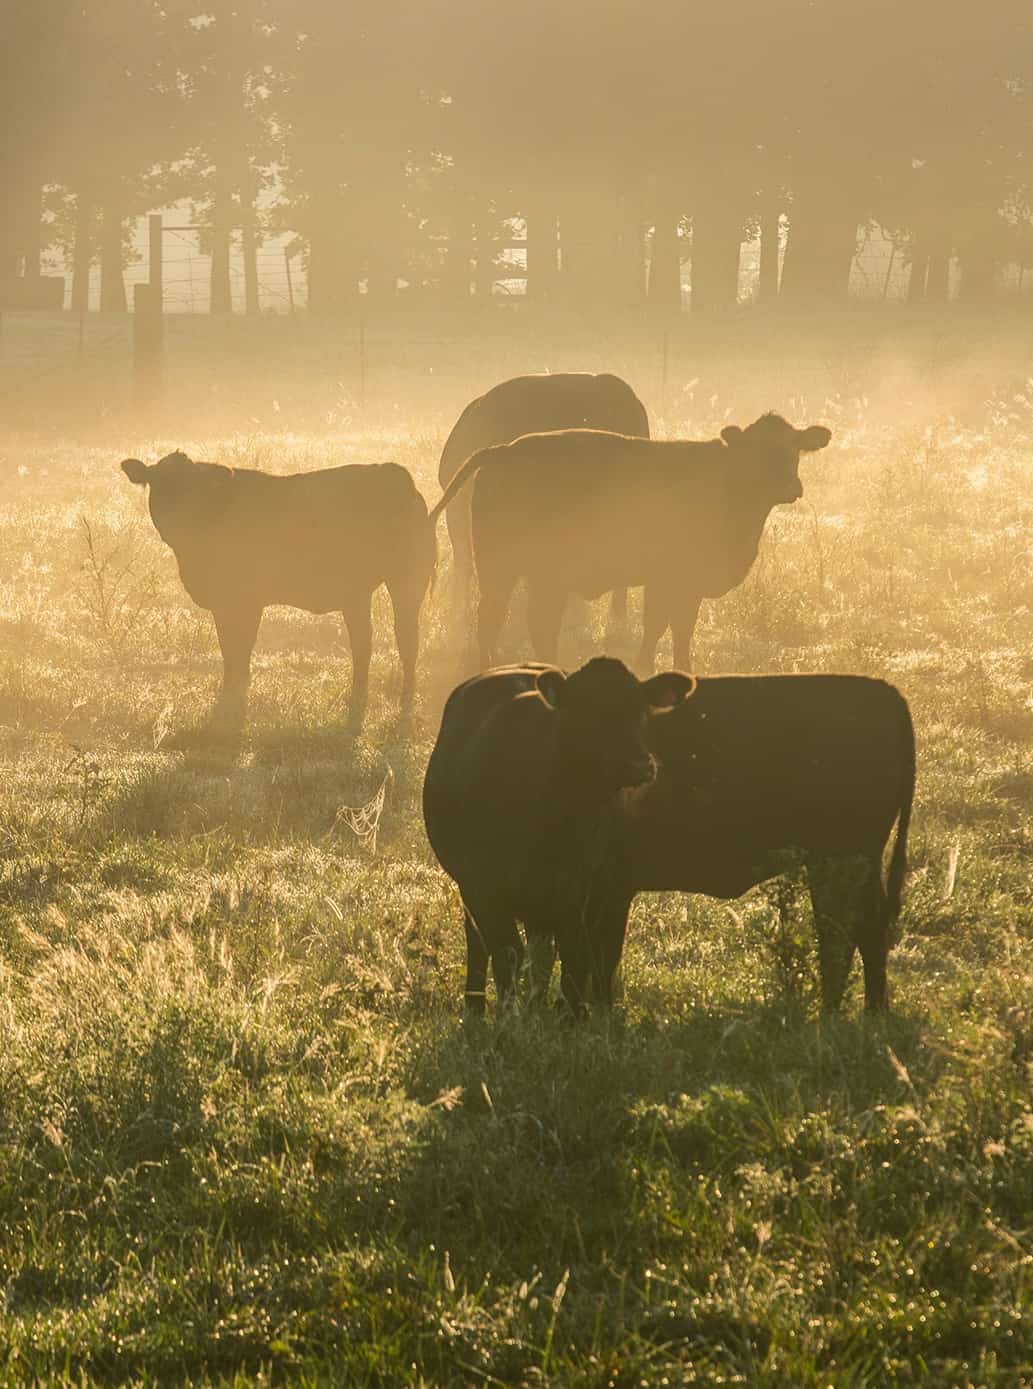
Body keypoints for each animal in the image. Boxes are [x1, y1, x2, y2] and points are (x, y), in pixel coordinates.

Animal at [121, 451, 435, 733]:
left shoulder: (245, 601)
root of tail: (392, 472)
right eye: (160, 484)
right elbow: (229, 648)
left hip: (406, 582)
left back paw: (405, 705)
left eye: (195, 488)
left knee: (406, 641)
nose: (180, 522)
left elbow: (239, 648)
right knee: (364, 643)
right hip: (357, 593)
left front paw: (234, 700)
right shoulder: (224, 605)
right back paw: (358, 700)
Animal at [422, 657, 695, 1015]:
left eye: (640, 711)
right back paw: (477, 1008)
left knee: (546, 953)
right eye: (585, 711)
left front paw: (572, 1015)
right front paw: (510, 1016)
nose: (639, 763)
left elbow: (579, 957)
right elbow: (507, 953)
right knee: (481, 946)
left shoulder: (583, 891)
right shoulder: (483, 886)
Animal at [428, 413, 832, 672]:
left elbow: (674, 629)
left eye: (795, 448)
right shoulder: (672, 580)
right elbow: (664, 627)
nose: (791, 487)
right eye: (758, 450)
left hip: (535, 576)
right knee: (495, 620)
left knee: (532, 623)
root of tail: (505, 449)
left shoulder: (679, 584)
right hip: (503, 568)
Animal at [579, 674, 915, 1013]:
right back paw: (872, 1011)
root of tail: (887, 692)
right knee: (866, 932)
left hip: (838, 862)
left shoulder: (612, 887)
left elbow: (599, 956)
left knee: (842, 935)